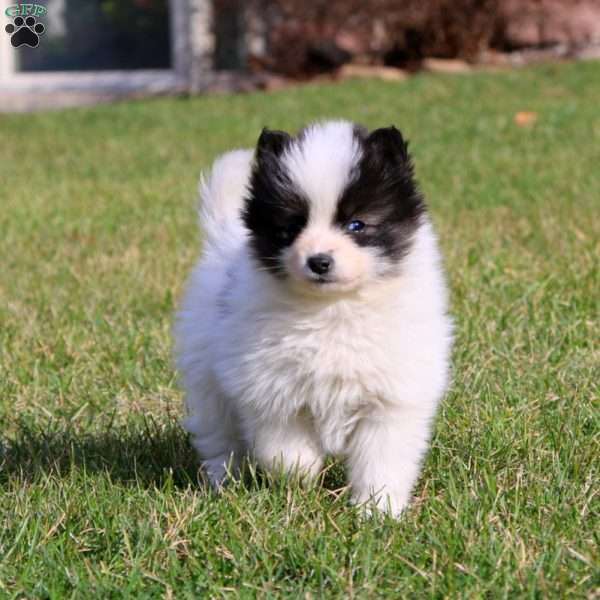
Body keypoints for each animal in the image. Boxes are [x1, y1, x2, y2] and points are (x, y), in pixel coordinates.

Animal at [173, 122, 450, 516]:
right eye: (291, 228)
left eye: (356, 225)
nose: (319, 261)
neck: (333, 309)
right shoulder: (272, 391)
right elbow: (289, 455)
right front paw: (299, 487)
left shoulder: (391, 397)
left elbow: (381, 459)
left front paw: (377, 511)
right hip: (207, 379)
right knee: (220, 435)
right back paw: (223, 481)